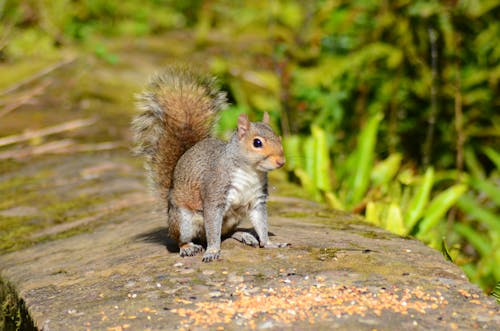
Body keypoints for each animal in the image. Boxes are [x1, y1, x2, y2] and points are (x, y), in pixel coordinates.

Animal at [132, 67, 290, 262]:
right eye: (257, 143)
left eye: (279, 138)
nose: (281, 161)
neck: (250, 172)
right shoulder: (214, 192)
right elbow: (213, 230)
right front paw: (213, 251)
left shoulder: (257, 199)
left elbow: (261, 223)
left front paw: (269, 243)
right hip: (183, 220)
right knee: (182, 239)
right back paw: (188, 247)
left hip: (232, 218)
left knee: (225, 233)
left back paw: (243, 235)